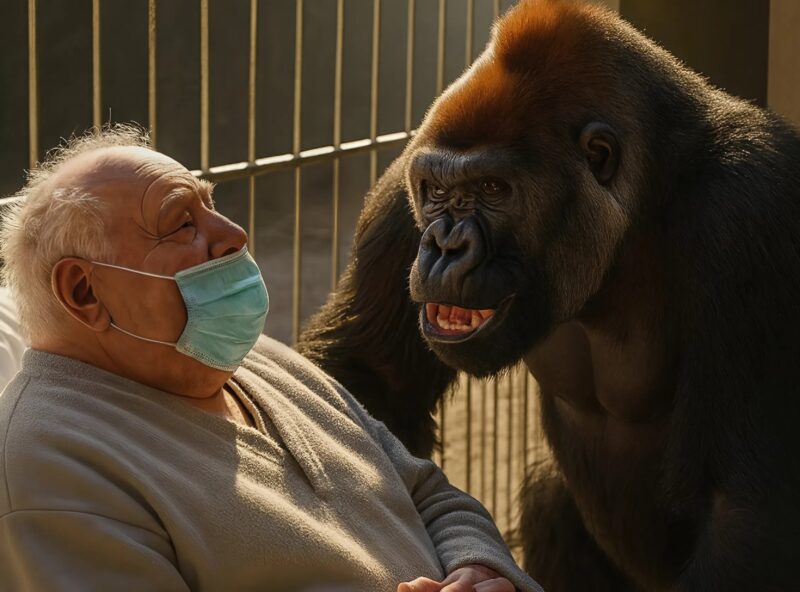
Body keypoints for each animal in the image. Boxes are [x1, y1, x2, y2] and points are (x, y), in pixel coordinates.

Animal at [298, 0, 800, 589]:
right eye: (437, 191)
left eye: (493, 190)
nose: (444, 246)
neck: (648, 195)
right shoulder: (408, 180)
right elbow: (370, 383)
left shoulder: (750, 213)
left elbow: (739, 510)